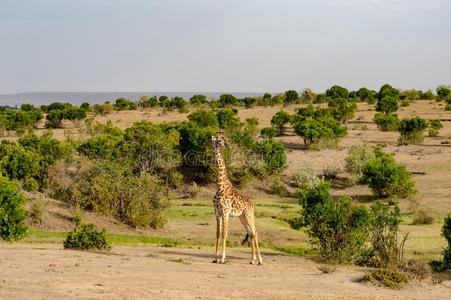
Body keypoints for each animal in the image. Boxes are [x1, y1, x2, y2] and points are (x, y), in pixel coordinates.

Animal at [213, 131, 264, 264]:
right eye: (219, 140)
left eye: (224, 139)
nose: (229, 146)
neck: (220, 186)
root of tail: (252, 204)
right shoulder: (217, 213)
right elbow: (218, 234)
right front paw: (215, 258)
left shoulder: (225, 212)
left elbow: (224, 234)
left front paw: (223, 258)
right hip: (242, 217)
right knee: (250, 233)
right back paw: (252, 260)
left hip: (249, 215)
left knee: (255, 232)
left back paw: (260, 260)